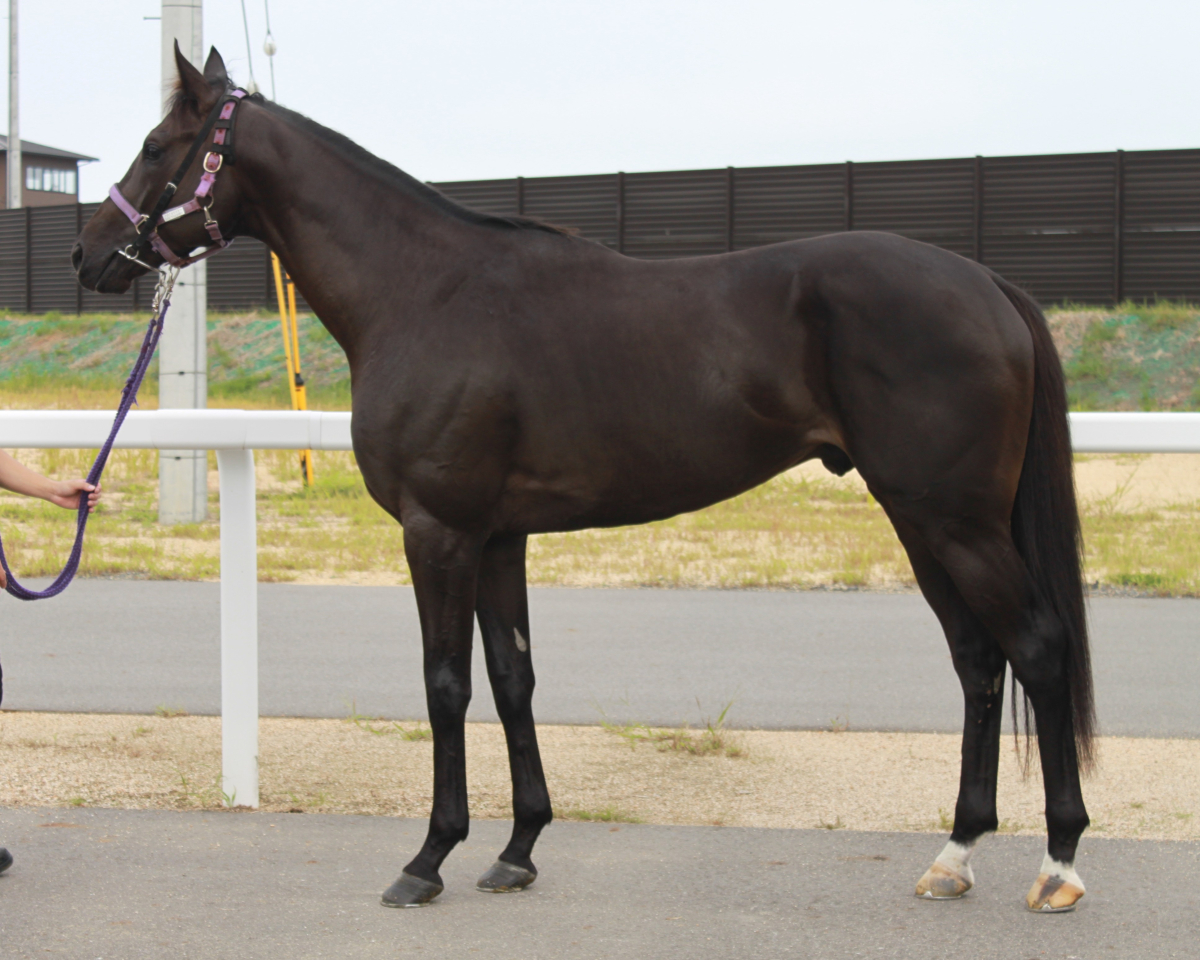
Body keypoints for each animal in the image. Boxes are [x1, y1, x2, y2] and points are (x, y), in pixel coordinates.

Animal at [74, 45, 1095, 913]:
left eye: (156, 147)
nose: (88, 256)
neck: (424, 291)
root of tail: (987, 284)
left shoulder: (438, 530)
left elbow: (446, 683)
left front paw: (428, 859)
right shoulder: (496, 536)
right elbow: (513, 676)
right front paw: (517, 849)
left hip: (956, 523)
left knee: (1038, 649)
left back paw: (1058, 864)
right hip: (924, 523)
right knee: (979, 661)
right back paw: (954, 855)